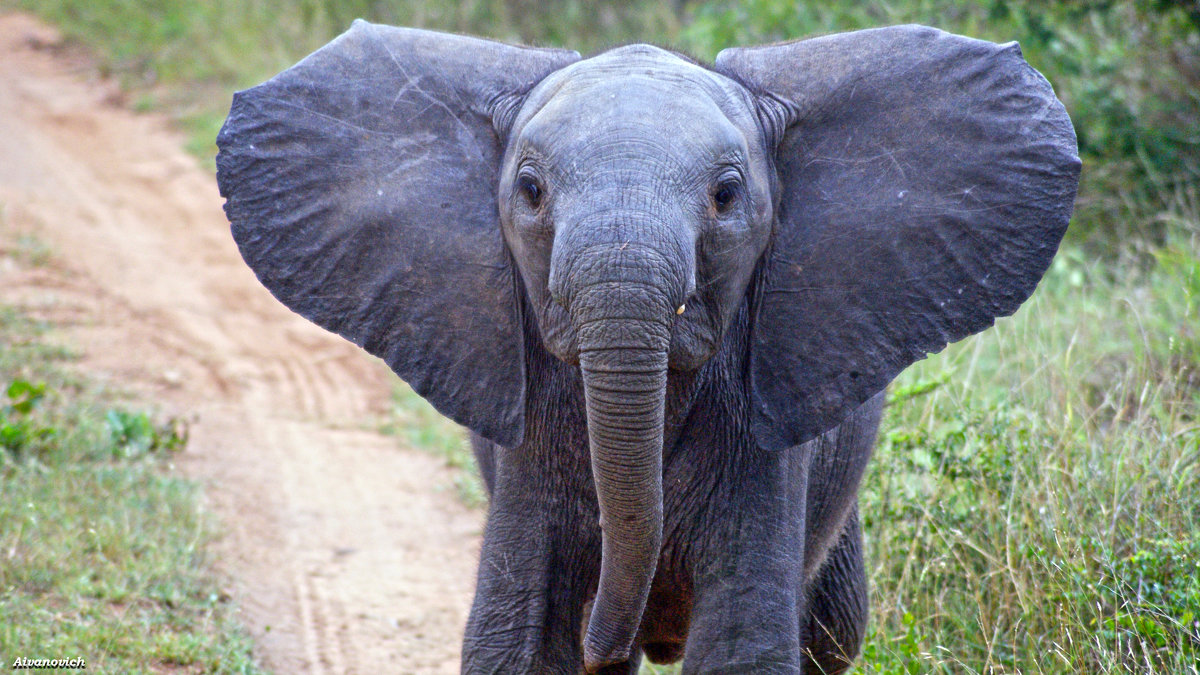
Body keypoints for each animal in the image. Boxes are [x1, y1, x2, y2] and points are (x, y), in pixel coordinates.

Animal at [213, 21, 1080, 672]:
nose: (614, 635)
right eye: (530, 191)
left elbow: (741, 645)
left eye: (726, 195)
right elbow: (519, 642)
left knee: (834, 633)